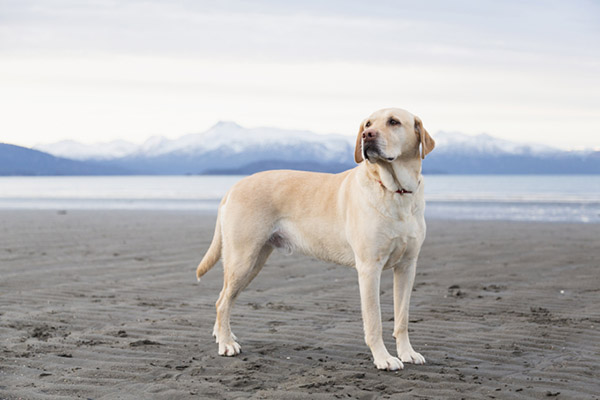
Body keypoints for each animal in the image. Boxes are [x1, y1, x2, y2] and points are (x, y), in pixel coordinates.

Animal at [197, 108, 436, 370]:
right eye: (368, 124)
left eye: (394, 122)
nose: (367, 135)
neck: (396, 191)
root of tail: (234, 186)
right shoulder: (369, 268)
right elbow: (374, 320)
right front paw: (383, 358)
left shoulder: (407, 266)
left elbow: (402, 317)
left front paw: (407, 352)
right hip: (242, 259)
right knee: (222, 302)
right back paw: (226, 343)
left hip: (253, 262)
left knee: (226, 299)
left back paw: (224, 335)